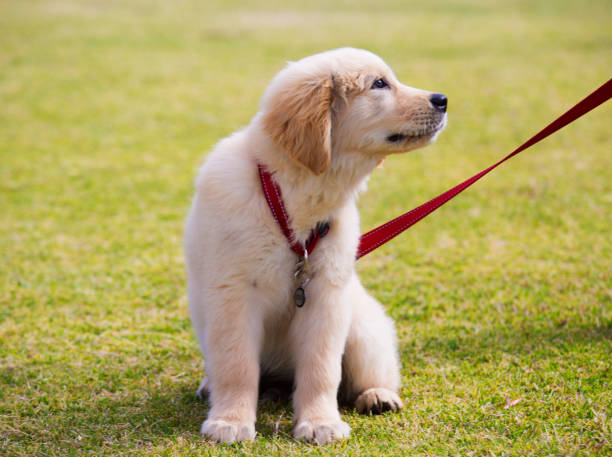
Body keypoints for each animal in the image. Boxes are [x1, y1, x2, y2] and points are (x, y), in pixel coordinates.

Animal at [184, 47, 448, 442]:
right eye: (379, 84)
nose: (443, 99)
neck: (289, 198)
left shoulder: (326, 294)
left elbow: (322, 369)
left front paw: (320, 422)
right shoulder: (233, 294)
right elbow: (236, 366)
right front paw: (230, 422)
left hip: (364, 327)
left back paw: (378, 395)